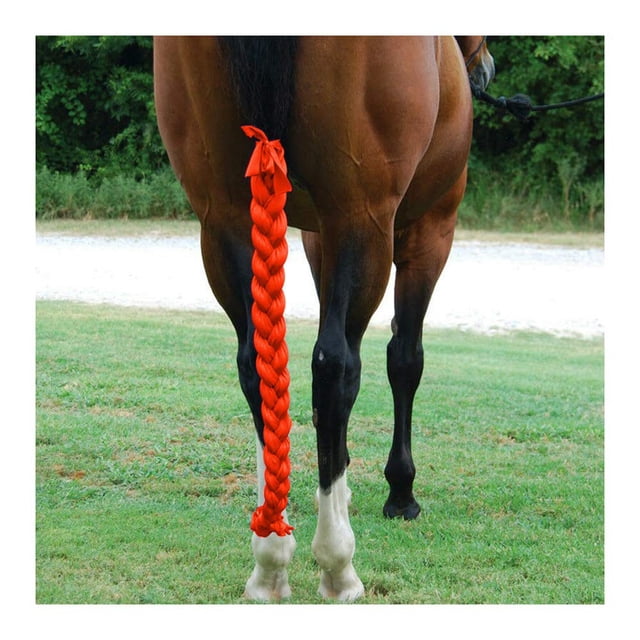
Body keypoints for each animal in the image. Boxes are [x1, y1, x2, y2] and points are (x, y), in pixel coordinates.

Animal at [153, 35, 494, 601]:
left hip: (224, 218)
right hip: (364, 216)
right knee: (336, 367)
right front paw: (400, 490)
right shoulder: (429, 230)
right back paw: (337, 562)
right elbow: (404, 359)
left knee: (259, 367)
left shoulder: (314, 235)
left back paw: (271, 554)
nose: (484, 68)